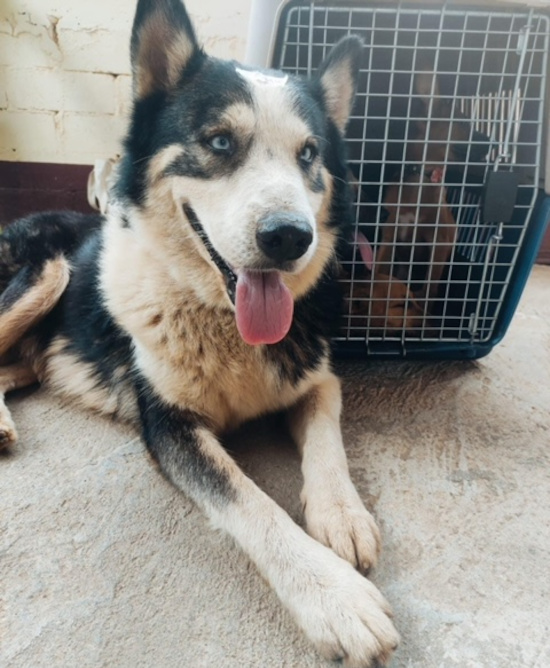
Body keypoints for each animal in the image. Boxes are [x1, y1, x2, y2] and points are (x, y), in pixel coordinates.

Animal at [0, 2, 402, 664]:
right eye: (219, 142)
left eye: (310, 154)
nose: (290, 237)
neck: (223, 323)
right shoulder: (169, 425)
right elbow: (250, 501)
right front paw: (333, 596)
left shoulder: (317, 377)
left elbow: (327, 436)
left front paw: (342, 514)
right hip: (47, 271)